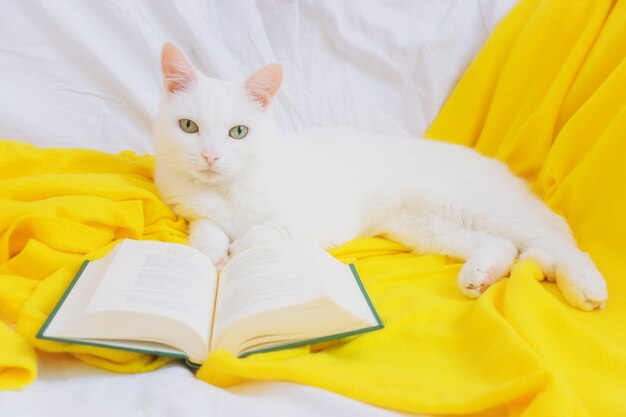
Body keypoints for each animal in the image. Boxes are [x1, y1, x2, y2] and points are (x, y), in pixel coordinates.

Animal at [151, 43, 604, 308]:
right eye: (188, 127)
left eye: (238, 132)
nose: (210, 156)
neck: (228, 189)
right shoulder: (195, 209)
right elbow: (206, 228)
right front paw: (212, 251)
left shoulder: (322, 215)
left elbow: (266, 233)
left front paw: (238, 250)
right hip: (427, 228)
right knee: (502, 245)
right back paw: (481, 275)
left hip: (478, 207)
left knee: (556, 235)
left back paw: (585, 286)